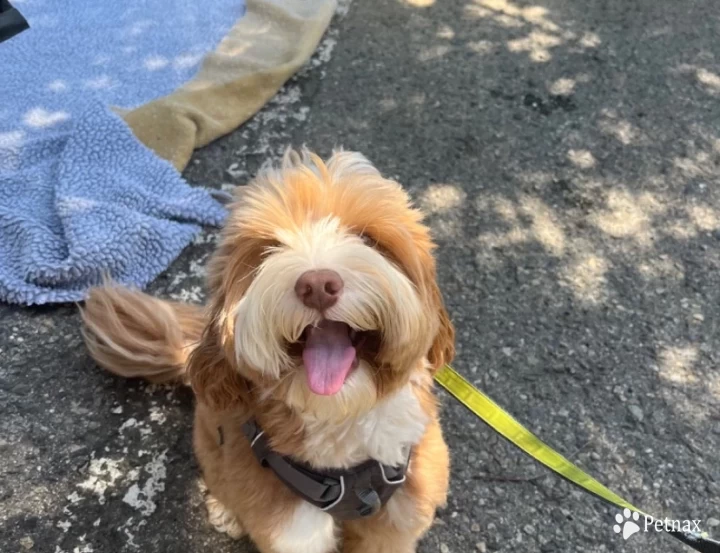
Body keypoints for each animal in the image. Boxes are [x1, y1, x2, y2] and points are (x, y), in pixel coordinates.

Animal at [81, 149, 456, 548]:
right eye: (269, 249)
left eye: (367, 239)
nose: (318, 285)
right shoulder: (290, 529)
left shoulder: (397, 520)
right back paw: (225, 510)